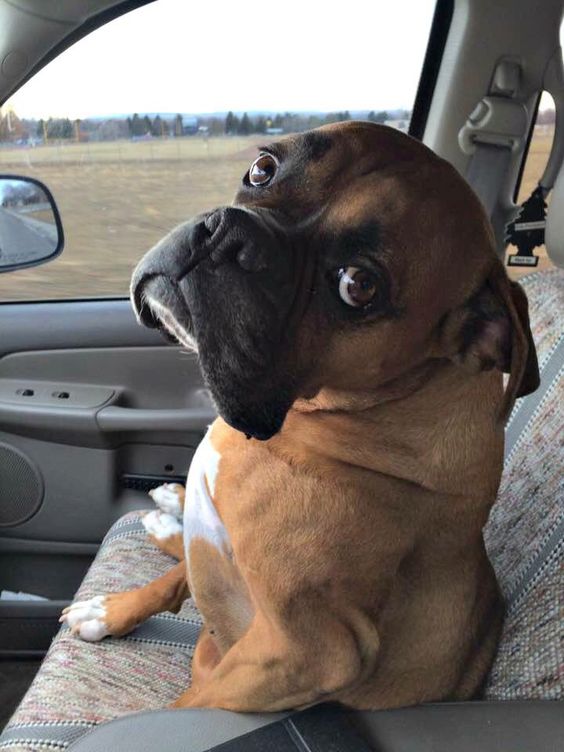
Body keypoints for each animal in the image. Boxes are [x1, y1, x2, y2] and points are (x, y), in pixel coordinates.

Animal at [60, 122, 536, 712]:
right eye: (262, 168)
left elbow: (190, 703)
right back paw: (170, 511)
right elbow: (178, 576)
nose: (227, 234)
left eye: (358, 285)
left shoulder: (303, 654)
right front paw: (112, 611)